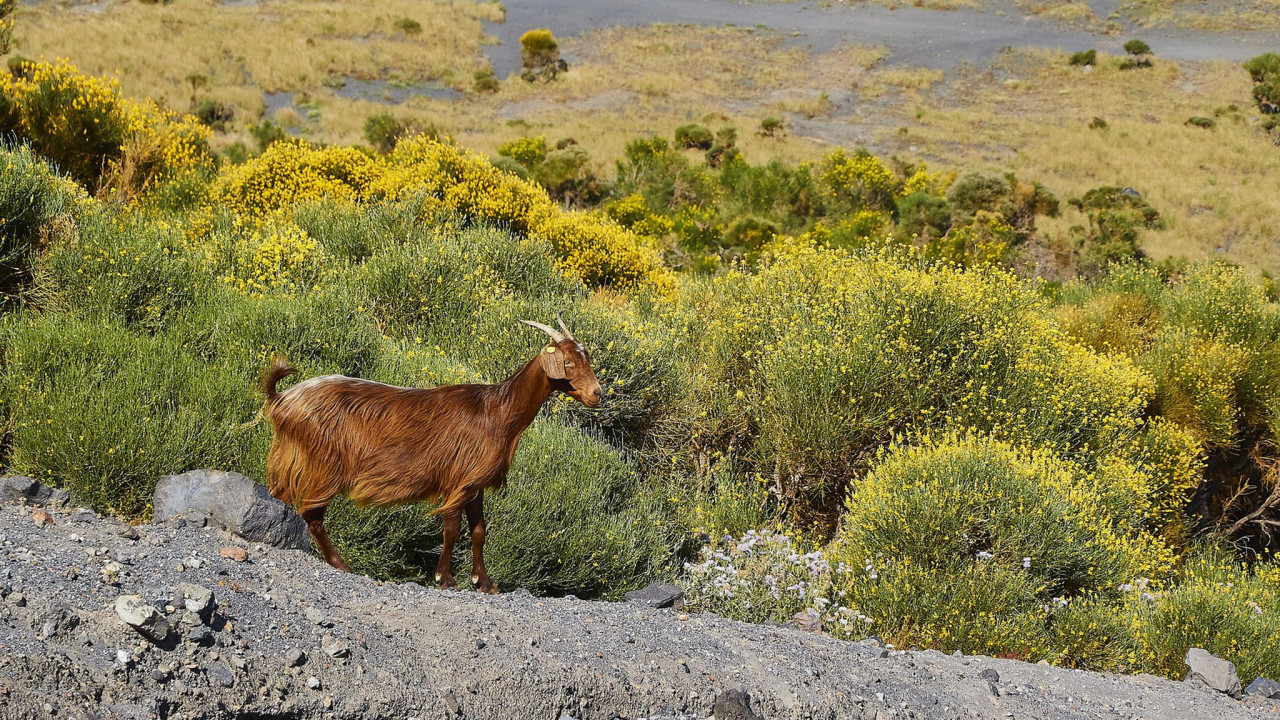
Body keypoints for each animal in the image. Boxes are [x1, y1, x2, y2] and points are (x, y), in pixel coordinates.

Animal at [259, 313, 604, 589]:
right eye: (568, 362)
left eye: (586, 358)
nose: (596, 394)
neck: (498, 412)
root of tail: (282, 400)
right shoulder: (458, 478)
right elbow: (451, 528)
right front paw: (445, 578)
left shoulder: (475, 483)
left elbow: (479, 530)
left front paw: (484, 583)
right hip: (323, 463)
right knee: (311, 514)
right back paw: (340, 564)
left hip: (294, 459)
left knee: (282, 500)